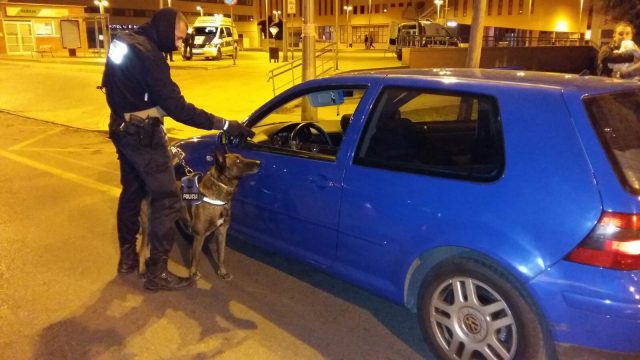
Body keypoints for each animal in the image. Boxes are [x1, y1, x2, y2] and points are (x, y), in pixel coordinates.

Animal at [140, 147, 260, 282]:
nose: (259, 163)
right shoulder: (199, 235)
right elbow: (196, 257)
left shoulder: (222, 232)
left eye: (242, 157)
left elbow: (221, 255)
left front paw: (222, 272)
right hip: (148, 226)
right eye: (238, 161)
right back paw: (143, 270)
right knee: (142, 248)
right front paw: (193, 273)